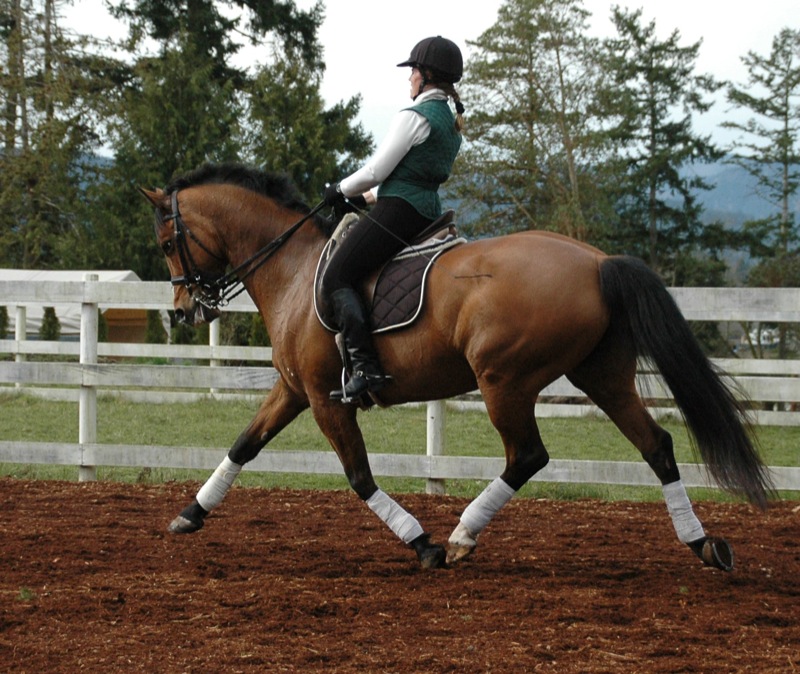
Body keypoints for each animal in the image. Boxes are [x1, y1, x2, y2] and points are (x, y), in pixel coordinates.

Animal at [141, 162, 774, 572]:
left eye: (169, 242)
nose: (185, 309)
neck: (294, 271)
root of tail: (597, 262)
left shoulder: (324, 398)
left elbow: (359, 476)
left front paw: (422, 544)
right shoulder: (296, 390)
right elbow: (244, 444)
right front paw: (189, 515)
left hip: (504, 380)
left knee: (528, 456)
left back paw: (463, 535)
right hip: (601, 377)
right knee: (657, 446)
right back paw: (704, 545)